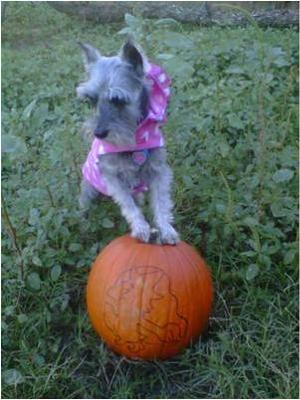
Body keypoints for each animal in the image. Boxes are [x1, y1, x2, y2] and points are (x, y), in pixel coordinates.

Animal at [78, 42, 180, 245]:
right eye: (91, 100)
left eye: (118, 99)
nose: (98, 133)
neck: (134, 141)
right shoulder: (112, 177)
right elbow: (128, 205)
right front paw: (141, 227)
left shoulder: (159, 172)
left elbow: (161, 202)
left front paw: (166, 229)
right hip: (89, 187)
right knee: (84, 203)